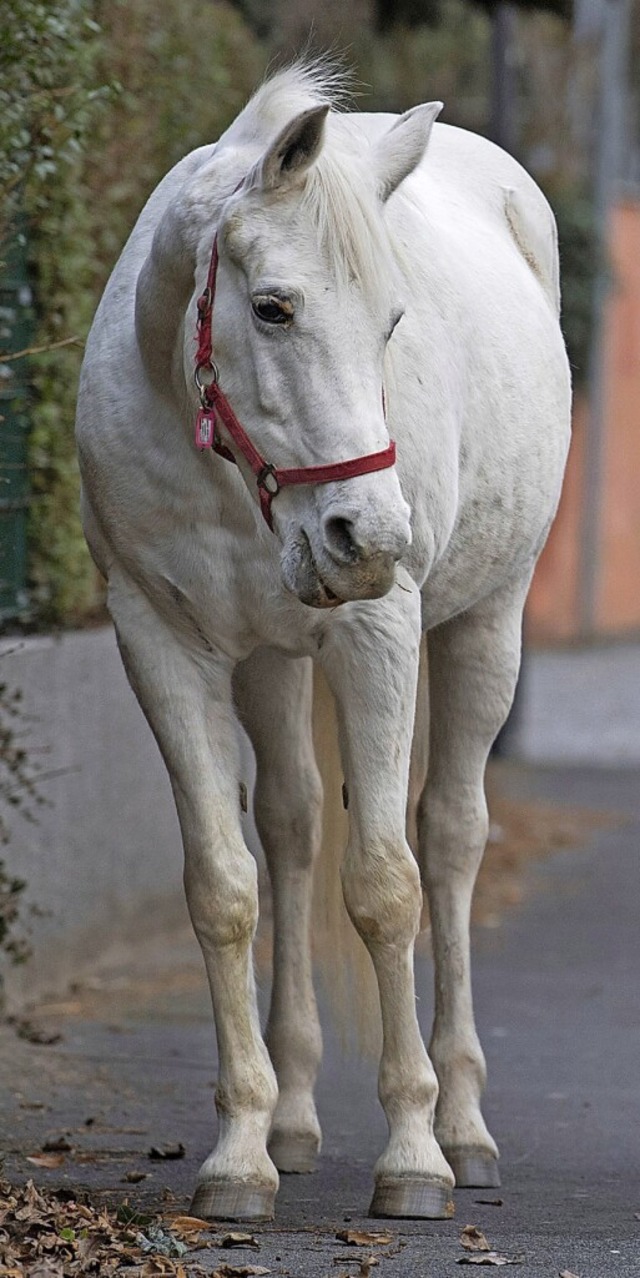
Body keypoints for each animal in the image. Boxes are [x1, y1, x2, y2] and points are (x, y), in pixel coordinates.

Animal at [74, 62, 569, 1226]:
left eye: (393, 322)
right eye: (273, 307)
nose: (368, 538)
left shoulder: (375, 633)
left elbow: (387, 885)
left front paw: (414, 1158)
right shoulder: (158, 642)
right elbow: (225, 888)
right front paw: (239, 1154)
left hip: (488, 623)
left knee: (450, 838)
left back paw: (464, 1125)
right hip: (268, 661)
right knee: (295, 829)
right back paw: (293, 1120)